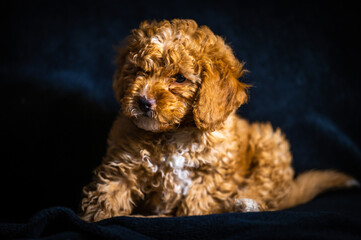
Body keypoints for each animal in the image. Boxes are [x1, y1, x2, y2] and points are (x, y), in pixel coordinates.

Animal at [79, 18, 358, 221]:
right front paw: (96, 218)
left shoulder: (214, 173)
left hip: (269, 143)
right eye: (139, 70)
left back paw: (245, 204)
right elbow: (110, 191)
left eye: (179, 78)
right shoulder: (124, 162)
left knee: (268, 192)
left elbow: (197, 202)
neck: (174, 133)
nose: (143, 101)